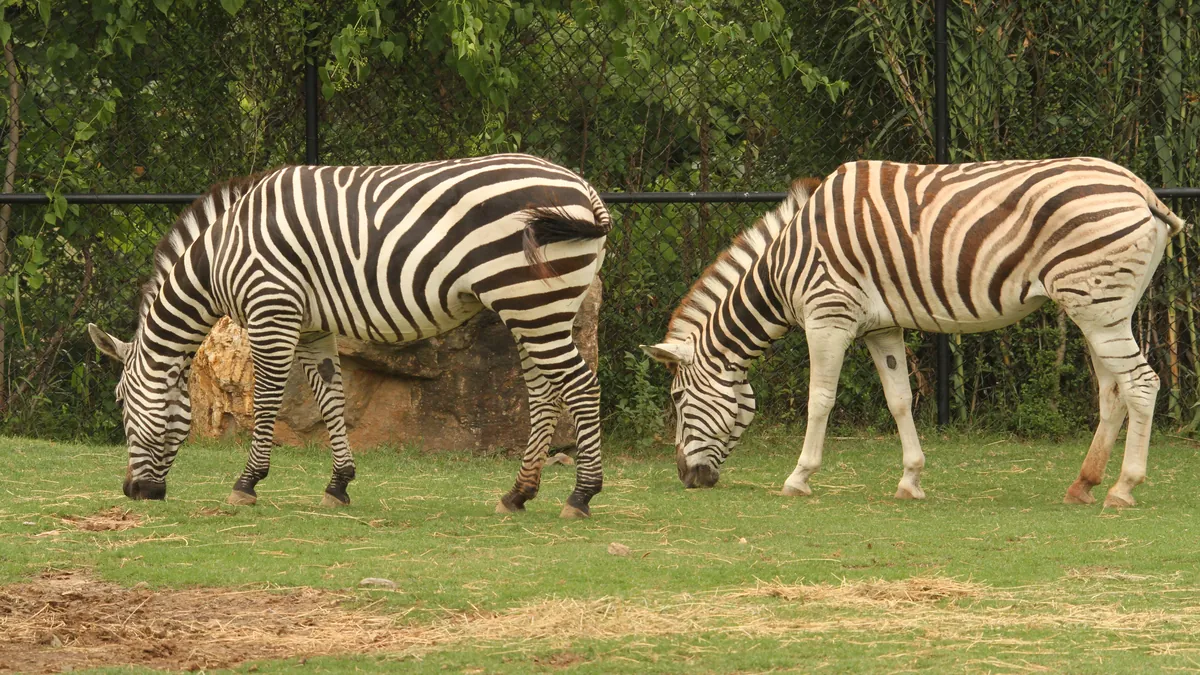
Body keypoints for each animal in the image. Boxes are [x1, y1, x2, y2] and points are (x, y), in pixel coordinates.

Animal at [88, 153, 610, 518]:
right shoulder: (312, 327)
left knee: (582, 387)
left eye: (119, 402)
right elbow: (331, 399)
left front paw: (247, 484)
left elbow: (268, 399)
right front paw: (339, 484)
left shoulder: (271, 309)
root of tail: (584, 187)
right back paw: (518, 494)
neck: (219, 256)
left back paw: (582, 495)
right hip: (533, 307)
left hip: (530, 302)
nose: (134, 492)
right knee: (545, 395)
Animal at [643, 157, 1188, 508]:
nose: (687, 479)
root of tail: (1140, 190)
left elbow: (820, 399)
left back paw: (1123, 488)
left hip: (1096, 305)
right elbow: (900, 401)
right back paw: (1084, 484)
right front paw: (911, 480)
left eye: (676, 399)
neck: (783, 265)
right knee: (1114, 391)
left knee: (1141, 384)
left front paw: (799, 478)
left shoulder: (827, 316)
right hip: (1100, 307)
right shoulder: (881, 327)